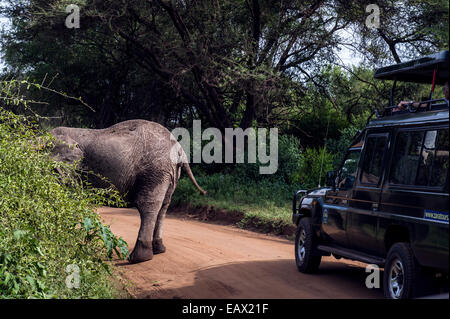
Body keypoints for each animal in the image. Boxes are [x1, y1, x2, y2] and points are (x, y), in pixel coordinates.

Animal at [50, 120, 206, 264]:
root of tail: (180, 151)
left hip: (155, 171)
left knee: (148, 205)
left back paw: (138, 258)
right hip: (170, 173)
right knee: (164, 205)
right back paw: (159, 250)